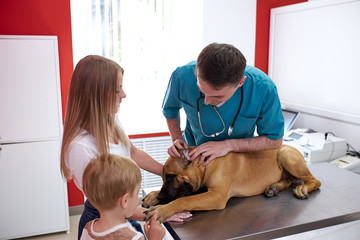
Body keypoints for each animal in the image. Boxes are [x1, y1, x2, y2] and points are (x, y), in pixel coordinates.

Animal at [143, 143, 320, 222]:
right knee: (288, 181)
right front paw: (153, 196)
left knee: (315, 181)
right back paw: (273, 187)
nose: (161, 196)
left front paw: (161, 210)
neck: (206, 165)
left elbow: (183, 200)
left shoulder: (217, 196)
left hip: (285, 154)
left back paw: (302, 189)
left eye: (170, 176)